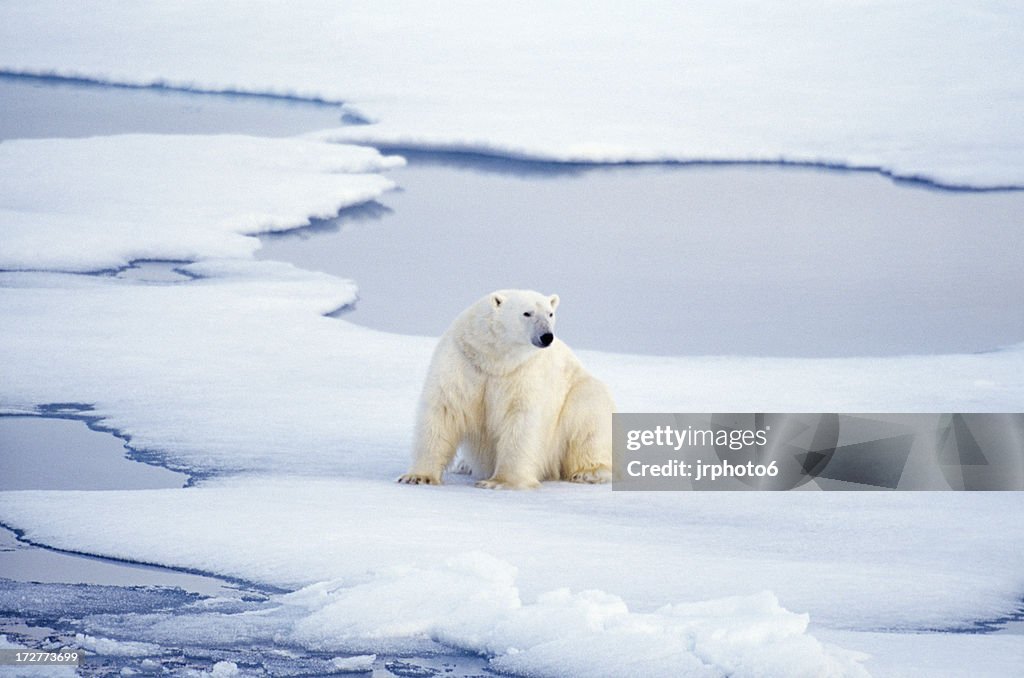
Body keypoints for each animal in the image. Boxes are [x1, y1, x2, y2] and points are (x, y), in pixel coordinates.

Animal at [395, 288, 610, 491]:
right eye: (527, 313)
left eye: (550, 314)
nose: (546, 336)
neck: (494, 359)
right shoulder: (462, 360)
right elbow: (444, 410)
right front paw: (417, 477)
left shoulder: (523, 372)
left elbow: (520, 420)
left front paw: (499, 482)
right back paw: (464, 466)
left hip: (578, 394)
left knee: (589, 420)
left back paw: (589, 473)